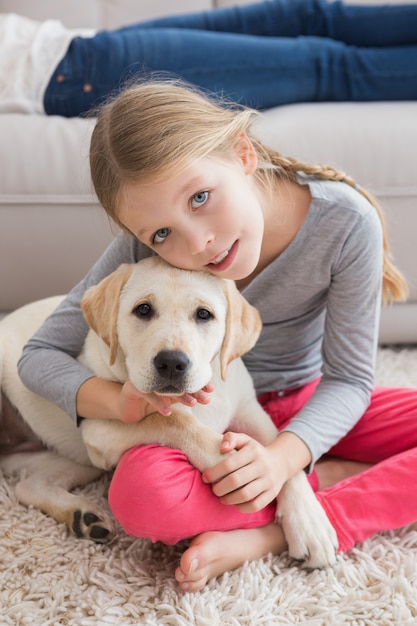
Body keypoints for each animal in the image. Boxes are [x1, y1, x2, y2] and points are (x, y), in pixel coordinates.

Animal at [0, 256, 336, 564]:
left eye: (204, 314)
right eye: (143, 309)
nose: (172, 363)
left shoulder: (250, 412)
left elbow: (279, 453)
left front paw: (310, 524)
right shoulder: (100, 427)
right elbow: (175, 421)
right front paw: (228, 460)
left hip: (74, 459)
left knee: (28, 486)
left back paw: (82, 517)